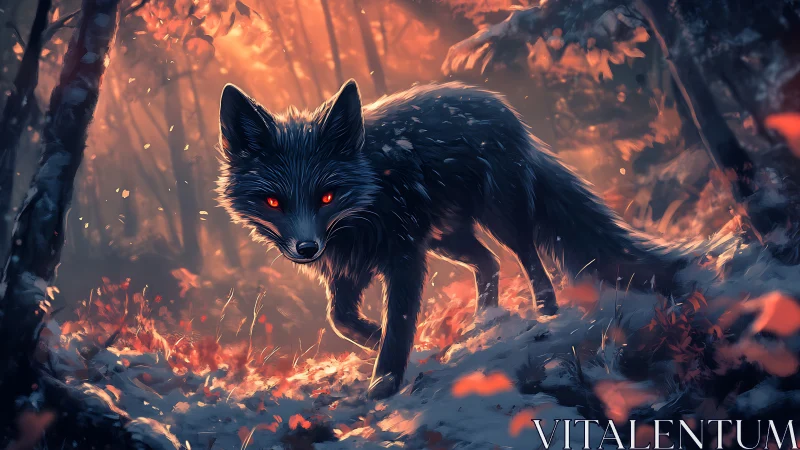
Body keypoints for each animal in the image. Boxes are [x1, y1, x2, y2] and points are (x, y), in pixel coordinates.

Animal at [216, 79, 689, 399]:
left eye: (327, 196)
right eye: (274, 201)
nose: (307, 249)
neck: (363, 211)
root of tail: (498, 103)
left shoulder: (405, 257)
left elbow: (399, 322)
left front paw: (386, 379)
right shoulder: (347, 271)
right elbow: (342, 320)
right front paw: (385, 340)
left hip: (498, 220)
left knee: (529, 260)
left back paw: (546, 312)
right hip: (446, 239)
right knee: (490, 263)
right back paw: (486, 320)